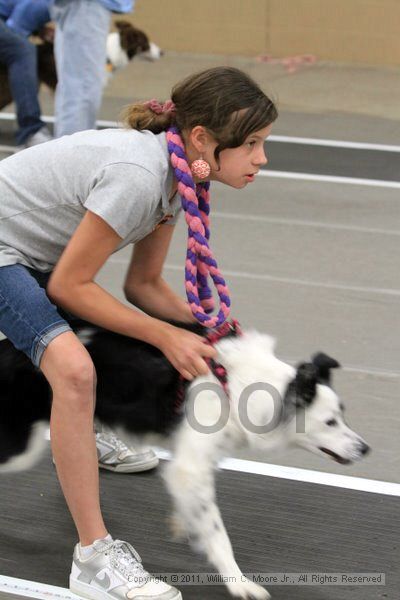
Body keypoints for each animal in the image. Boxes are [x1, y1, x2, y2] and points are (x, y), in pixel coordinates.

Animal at [0, 324, 368, 600]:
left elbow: (197, 509)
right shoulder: (190, 466)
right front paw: (240, 583)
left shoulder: (193, 460)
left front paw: (183, 522)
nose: (365, 449)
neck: (241, 386)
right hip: (21, 444)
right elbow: (218, 532)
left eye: (343, 414)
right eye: (330, 422)